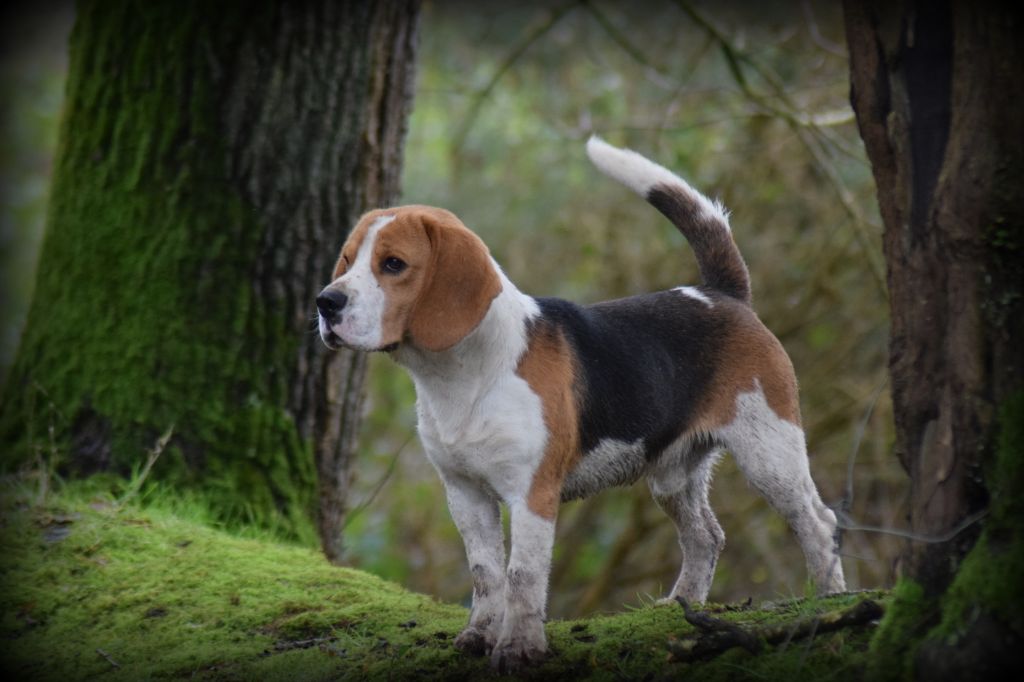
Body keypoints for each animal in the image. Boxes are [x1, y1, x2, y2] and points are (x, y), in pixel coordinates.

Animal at [315, 135, 843, 667]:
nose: (325, 302)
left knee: (819, 524)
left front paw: (519, 648)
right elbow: (485, 574)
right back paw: (682, 607)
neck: (459, 376)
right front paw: (479, 636)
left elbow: (522, 576)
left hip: (770, 453)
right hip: (673, 474)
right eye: (347, 260)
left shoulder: (532, 494)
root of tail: (720, 293)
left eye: (393, 264)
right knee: (705, 537)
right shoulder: (465, 494)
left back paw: (830, 603)